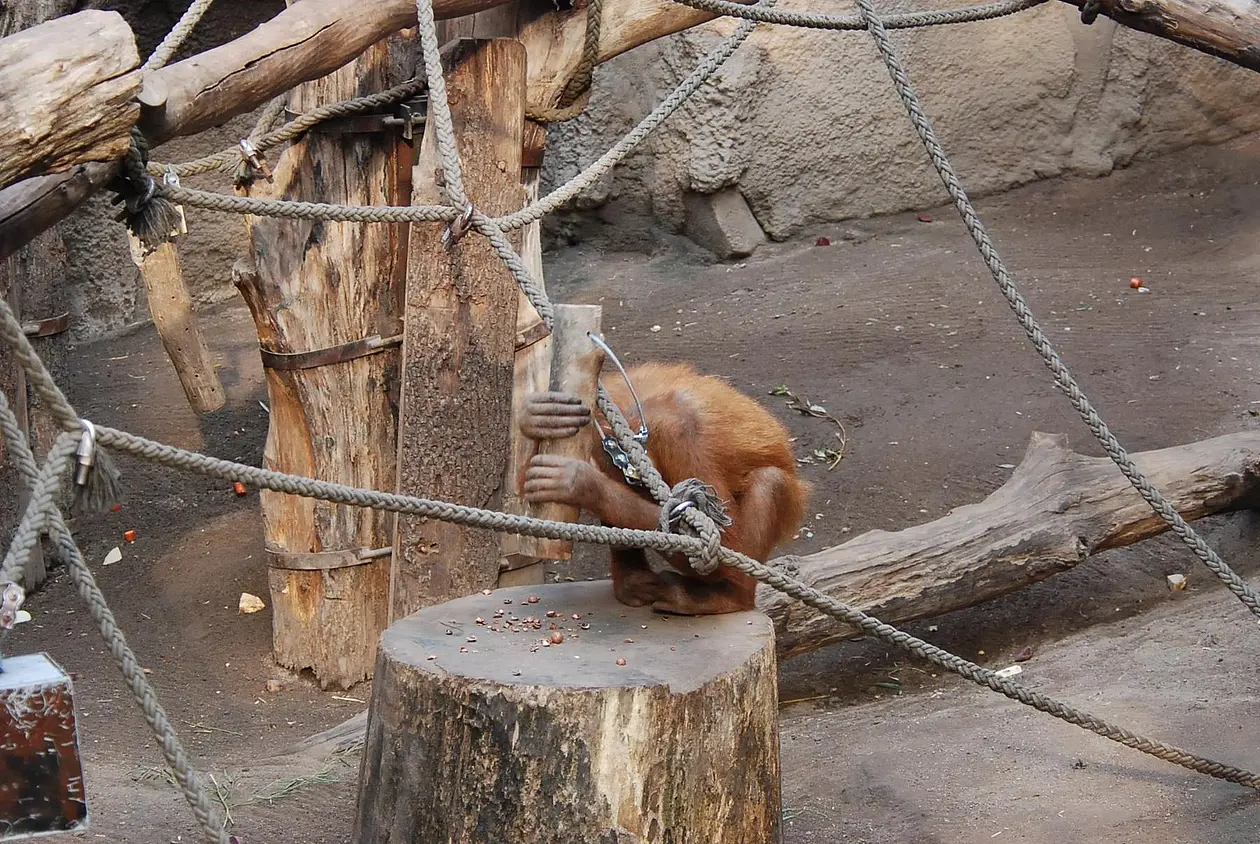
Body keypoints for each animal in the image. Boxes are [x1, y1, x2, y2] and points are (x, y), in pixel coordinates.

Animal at [520, 361, 809, 616]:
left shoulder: (675, 432)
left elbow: (724, 535)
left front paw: (581, 483)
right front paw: (534, 417)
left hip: (790, 504)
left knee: (770, 481)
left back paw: (729, 597)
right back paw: (633, 581)